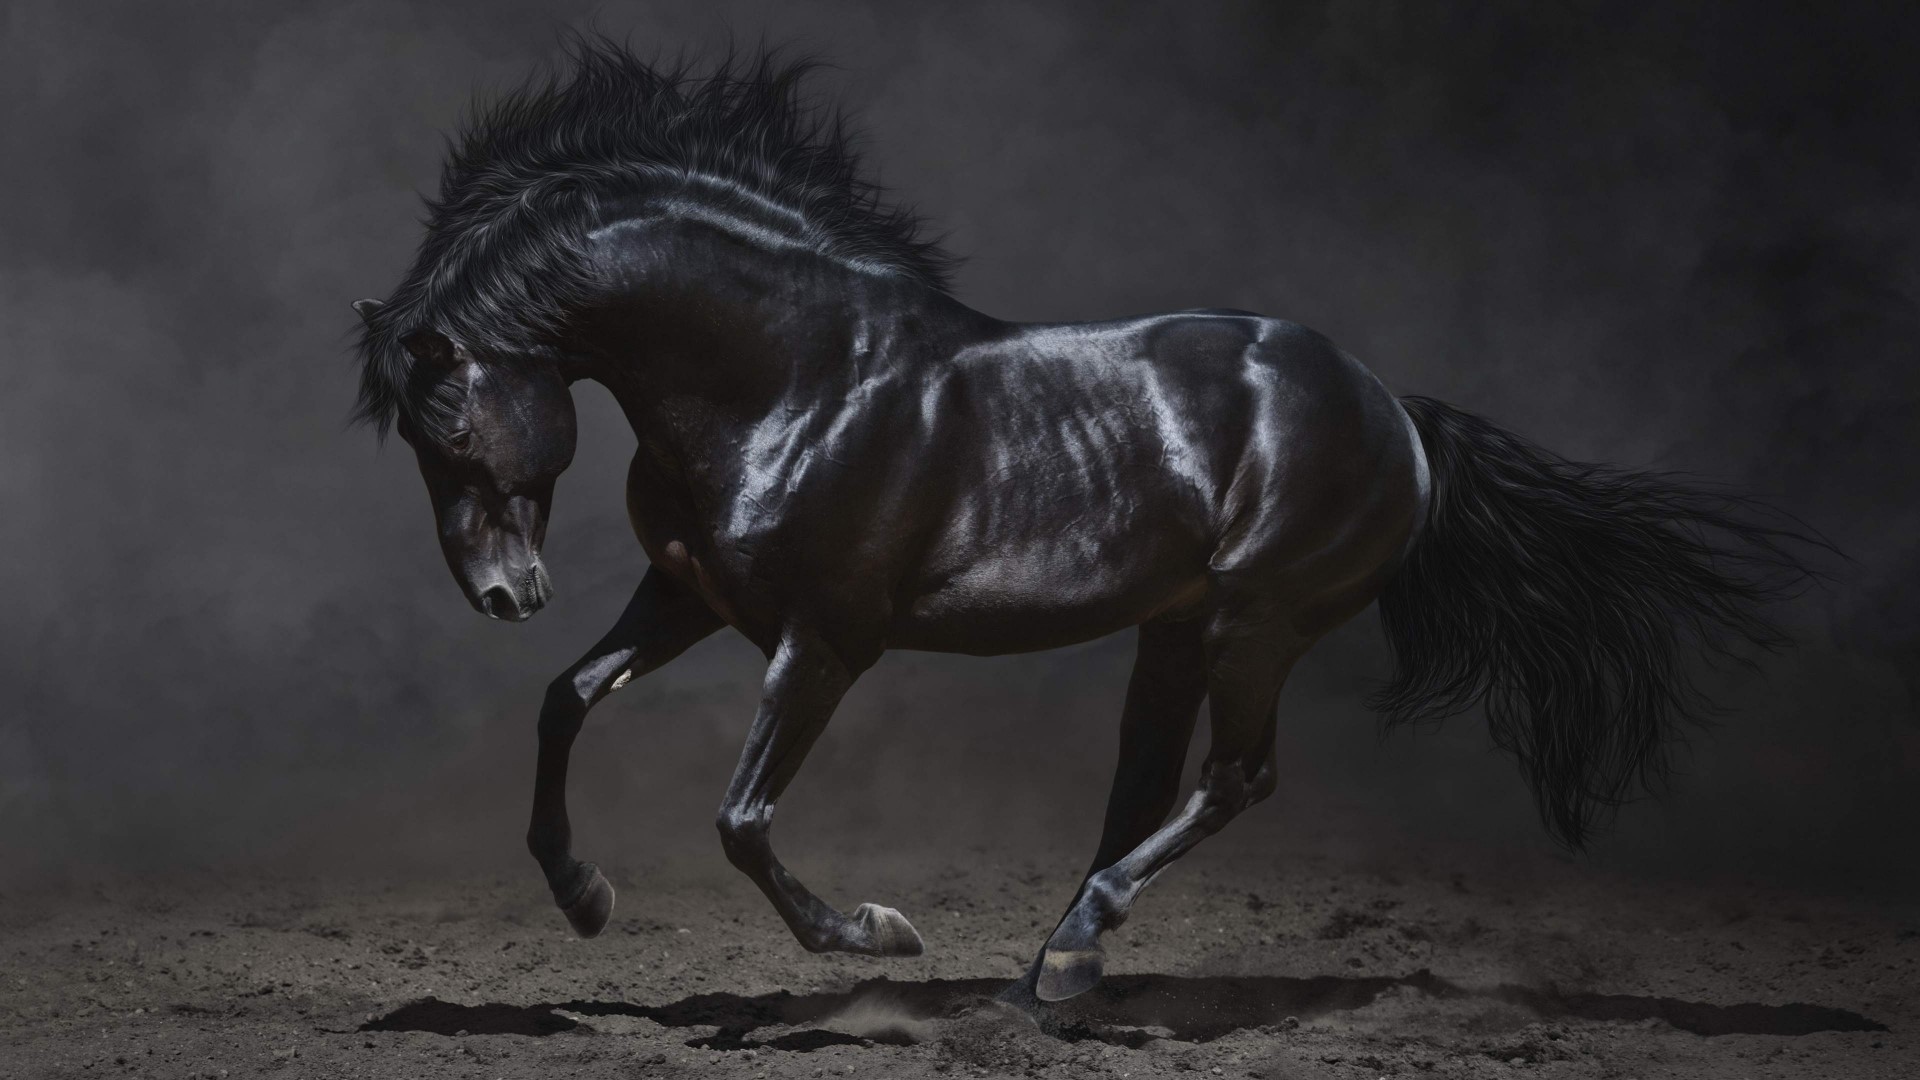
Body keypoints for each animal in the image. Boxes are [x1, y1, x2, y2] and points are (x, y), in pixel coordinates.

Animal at [349, 40, 1819, 1005]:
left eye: (451, 424)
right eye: (416, 441)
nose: (503, 594)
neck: (796, 377)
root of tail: (1394, 410)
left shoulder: (824, 640)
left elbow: (742, 818)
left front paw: (877, 936)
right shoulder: (692, 597)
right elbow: (566, 700)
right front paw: (583, 897)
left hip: (1256, 620)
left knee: (1234, 779)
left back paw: (1069, 951)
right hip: (1177, 628)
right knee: (1145, 787)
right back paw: (1056, 965)